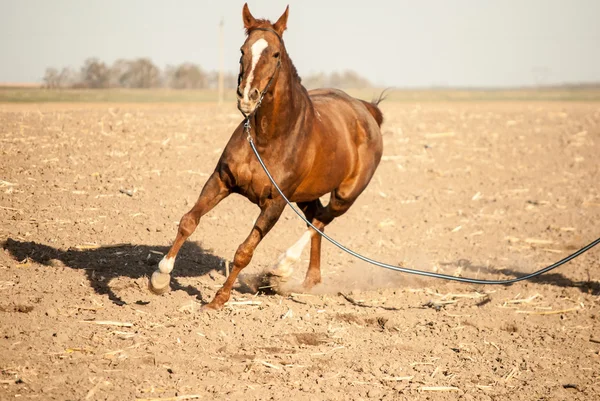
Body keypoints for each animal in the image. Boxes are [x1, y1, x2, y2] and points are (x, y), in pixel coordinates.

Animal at [150, 3, 384, 310]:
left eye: (275, 54)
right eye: (242, 50)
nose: (247, 97)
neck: (267, 139)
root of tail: (367, 111)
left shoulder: (274, 204)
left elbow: (244, 251)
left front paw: (218, 300)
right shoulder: (221, 180)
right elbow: (189, 221)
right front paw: (160, 278)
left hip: (346, 195)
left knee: (321, 221)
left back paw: (282, 267)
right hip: (306, 195)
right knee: (316, 219)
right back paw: (309, 280)